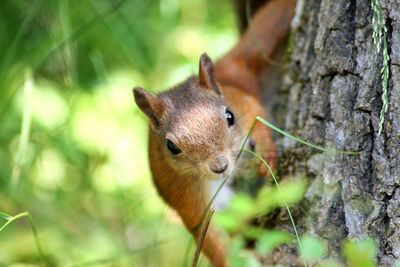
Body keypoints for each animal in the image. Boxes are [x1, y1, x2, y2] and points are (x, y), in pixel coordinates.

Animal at [133, 1, 296, 266]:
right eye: (171, 147)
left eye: (229, 116)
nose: (220, 166)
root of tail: (226, 68)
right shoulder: (186, 196)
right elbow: (208, 236)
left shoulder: (241, 102)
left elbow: (256, 114)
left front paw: (266, 149)